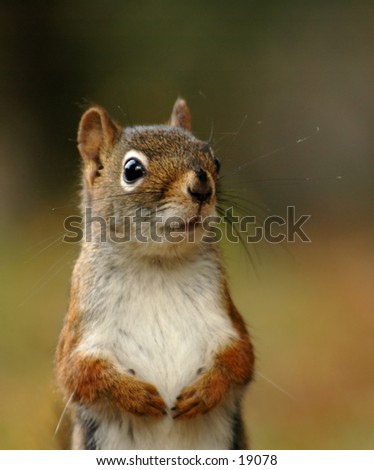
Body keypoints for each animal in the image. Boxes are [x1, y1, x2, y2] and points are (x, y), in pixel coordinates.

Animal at [54, 97, 254, 450]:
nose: (202, 187)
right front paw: (135, 395)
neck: (157, 265)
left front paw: (205, 392)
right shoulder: (81, 328)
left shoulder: (226, 317)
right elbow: (77, 372)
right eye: (132, 170)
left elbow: (241, 358)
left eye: (214, 160)